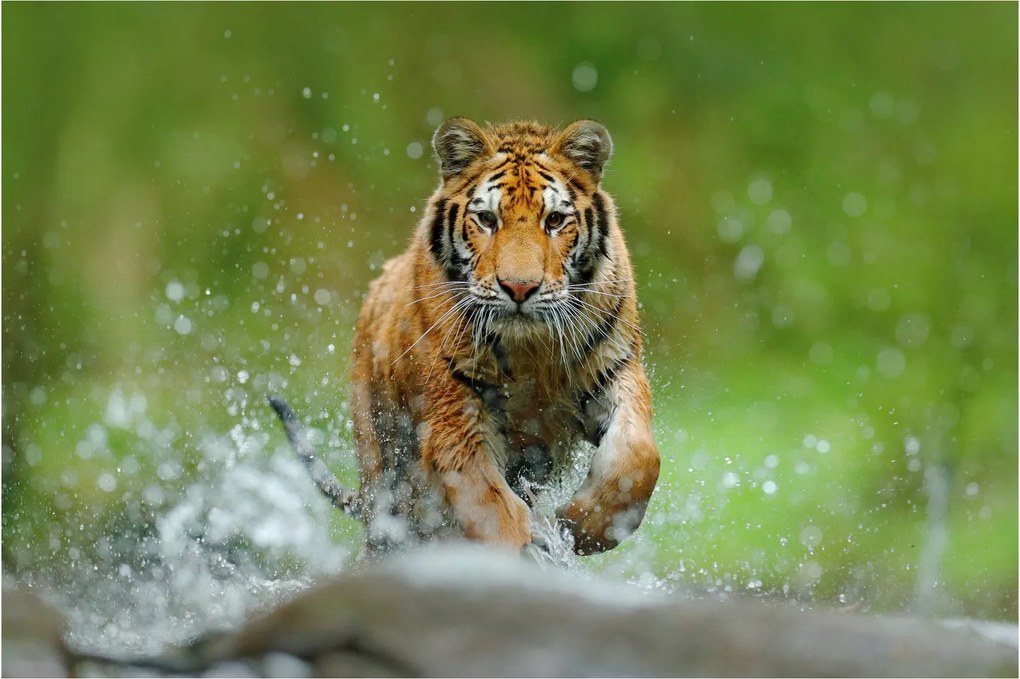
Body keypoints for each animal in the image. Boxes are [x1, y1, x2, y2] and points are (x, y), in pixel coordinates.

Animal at [272, 117, 659, 556]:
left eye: (555, 220)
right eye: (488, 219)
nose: (520, 288)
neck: (531, 351)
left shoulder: (616, 369)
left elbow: (638, 456)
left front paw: (579, 526)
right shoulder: (455, 417)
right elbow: (489, 505)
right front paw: (526, 550)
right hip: (383, 473)